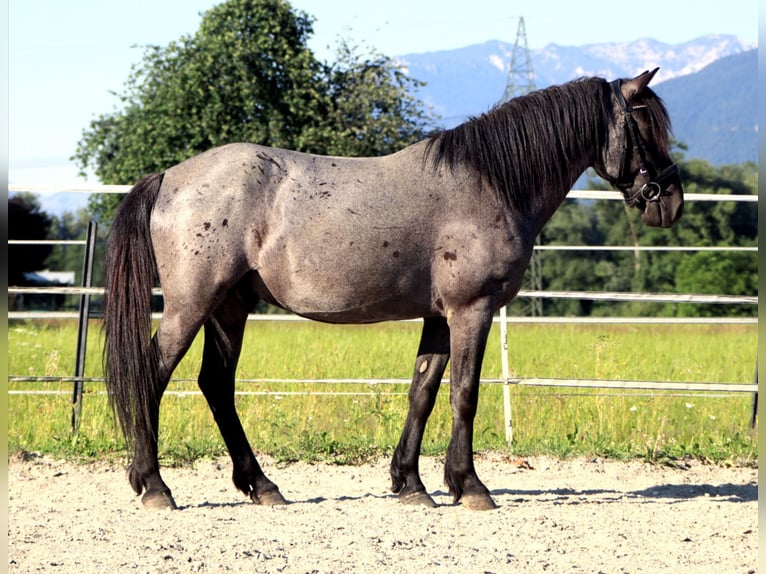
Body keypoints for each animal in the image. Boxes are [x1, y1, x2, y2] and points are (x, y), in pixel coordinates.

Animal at [104, 68, 683, 511]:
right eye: (645, 125)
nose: (671, 202)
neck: (489, 184)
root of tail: (169, 178)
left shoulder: (440, 317)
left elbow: (422, 392)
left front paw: (411, 484)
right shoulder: (472, 311)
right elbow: (464, 394)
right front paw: (470, 486)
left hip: (230, 307)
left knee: (216, 386)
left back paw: (261, 485)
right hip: (191, 306)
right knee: (152, 376)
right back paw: (154, 485)